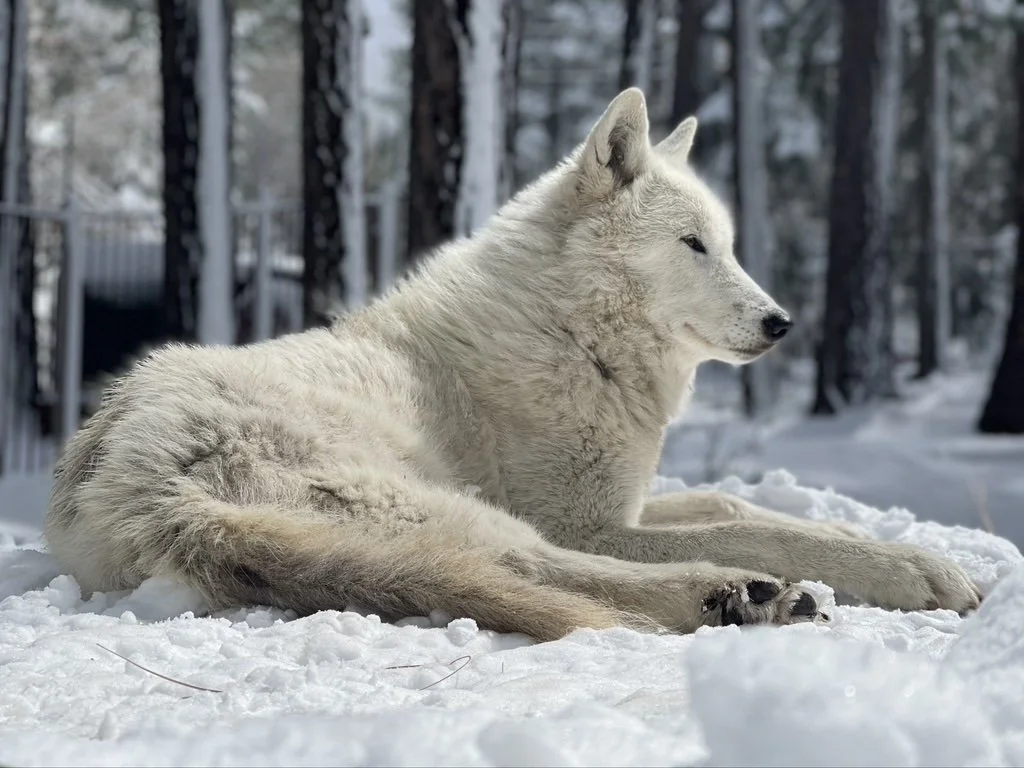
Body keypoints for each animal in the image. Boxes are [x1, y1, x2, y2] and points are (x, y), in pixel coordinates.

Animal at [45, 89, 981, 641]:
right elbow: (750, 525)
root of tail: (137, 478)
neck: (575, 338)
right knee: (531, 569)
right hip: (443, 506)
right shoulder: (586, 521)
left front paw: (867, 542)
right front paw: (917, 569)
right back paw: (738, 597)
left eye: (730, 245)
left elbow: (737, 502)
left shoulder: (621, 500)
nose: (781, 323)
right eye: (694, 245)